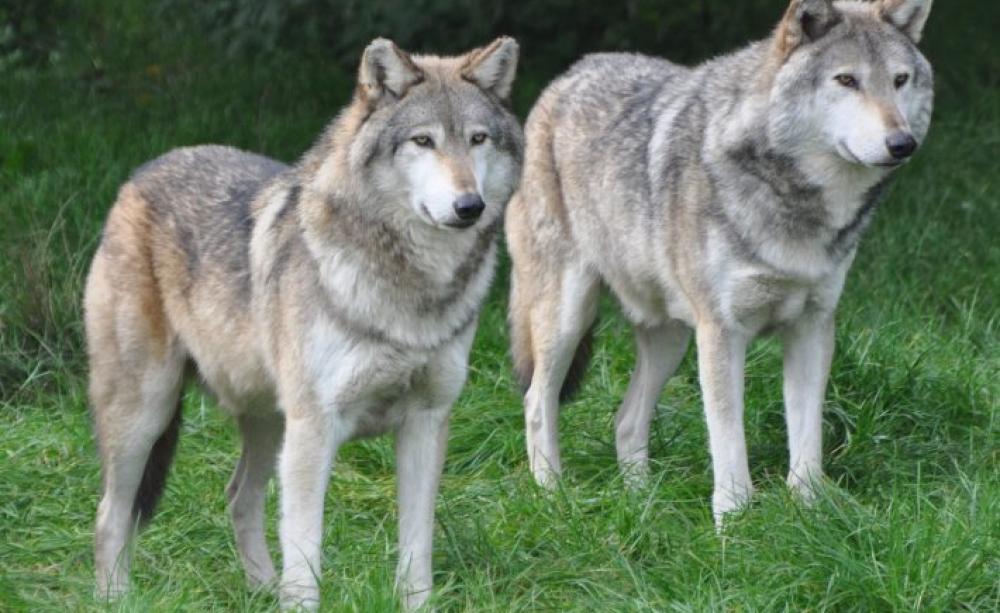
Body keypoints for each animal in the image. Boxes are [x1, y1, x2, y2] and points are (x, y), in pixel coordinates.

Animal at [85, 37, 522, 609]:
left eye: (478, 139)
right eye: (423, 141)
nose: (469, 205)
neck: (410, 291)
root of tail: (139, 176)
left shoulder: (427, 422)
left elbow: (416, 551)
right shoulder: (316, 428)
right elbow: (306, 558)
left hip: (269, 422)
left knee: (237, 498)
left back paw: (260, 590)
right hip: (148, 414)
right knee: (110, 515)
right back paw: (116, 597)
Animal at [506, 0, 933, 524]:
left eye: (899, 80)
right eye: (847, 80)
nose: (903, 143)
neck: (795, 205)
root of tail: (565, 78)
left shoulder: (813, 327)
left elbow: (806, 437)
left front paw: (810, 510)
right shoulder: (723, 332)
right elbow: (729, 440)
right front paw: (734, 521)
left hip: (670, 340)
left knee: (625, 420)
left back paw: (641, 502)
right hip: (569, 317)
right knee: (536, 401)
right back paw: (552, 496)